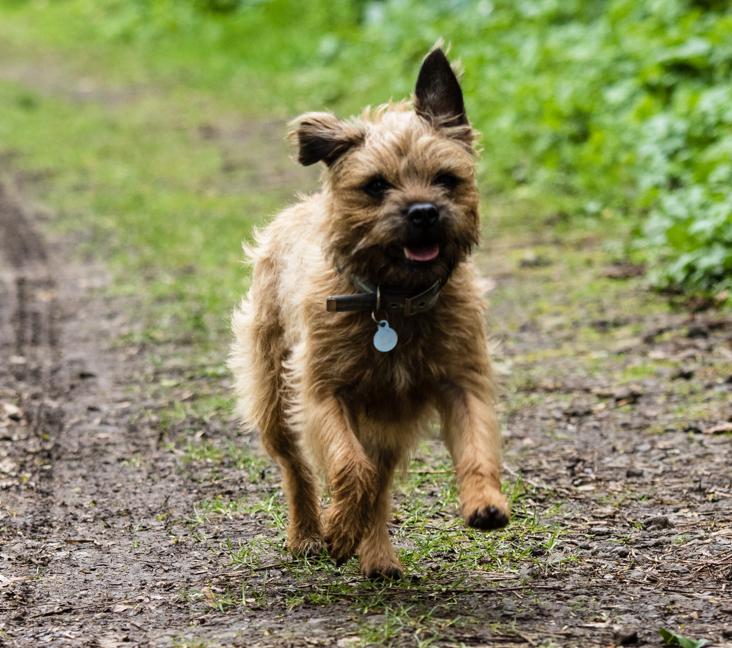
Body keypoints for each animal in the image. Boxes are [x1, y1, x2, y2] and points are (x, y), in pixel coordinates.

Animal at [229, 48, 508, 580]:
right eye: (376, 186)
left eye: (447, 179)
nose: (423, 211)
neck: (393, 302)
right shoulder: (322, 394)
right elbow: (348, 468)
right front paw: (338, 532)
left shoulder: (462, 382)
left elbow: (476, 447)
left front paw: (485, 502)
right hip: (274, 393)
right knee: (296, 466)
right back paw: (309, 533)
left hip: (388, 422)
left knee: (379, 482)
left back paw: (377, 555)